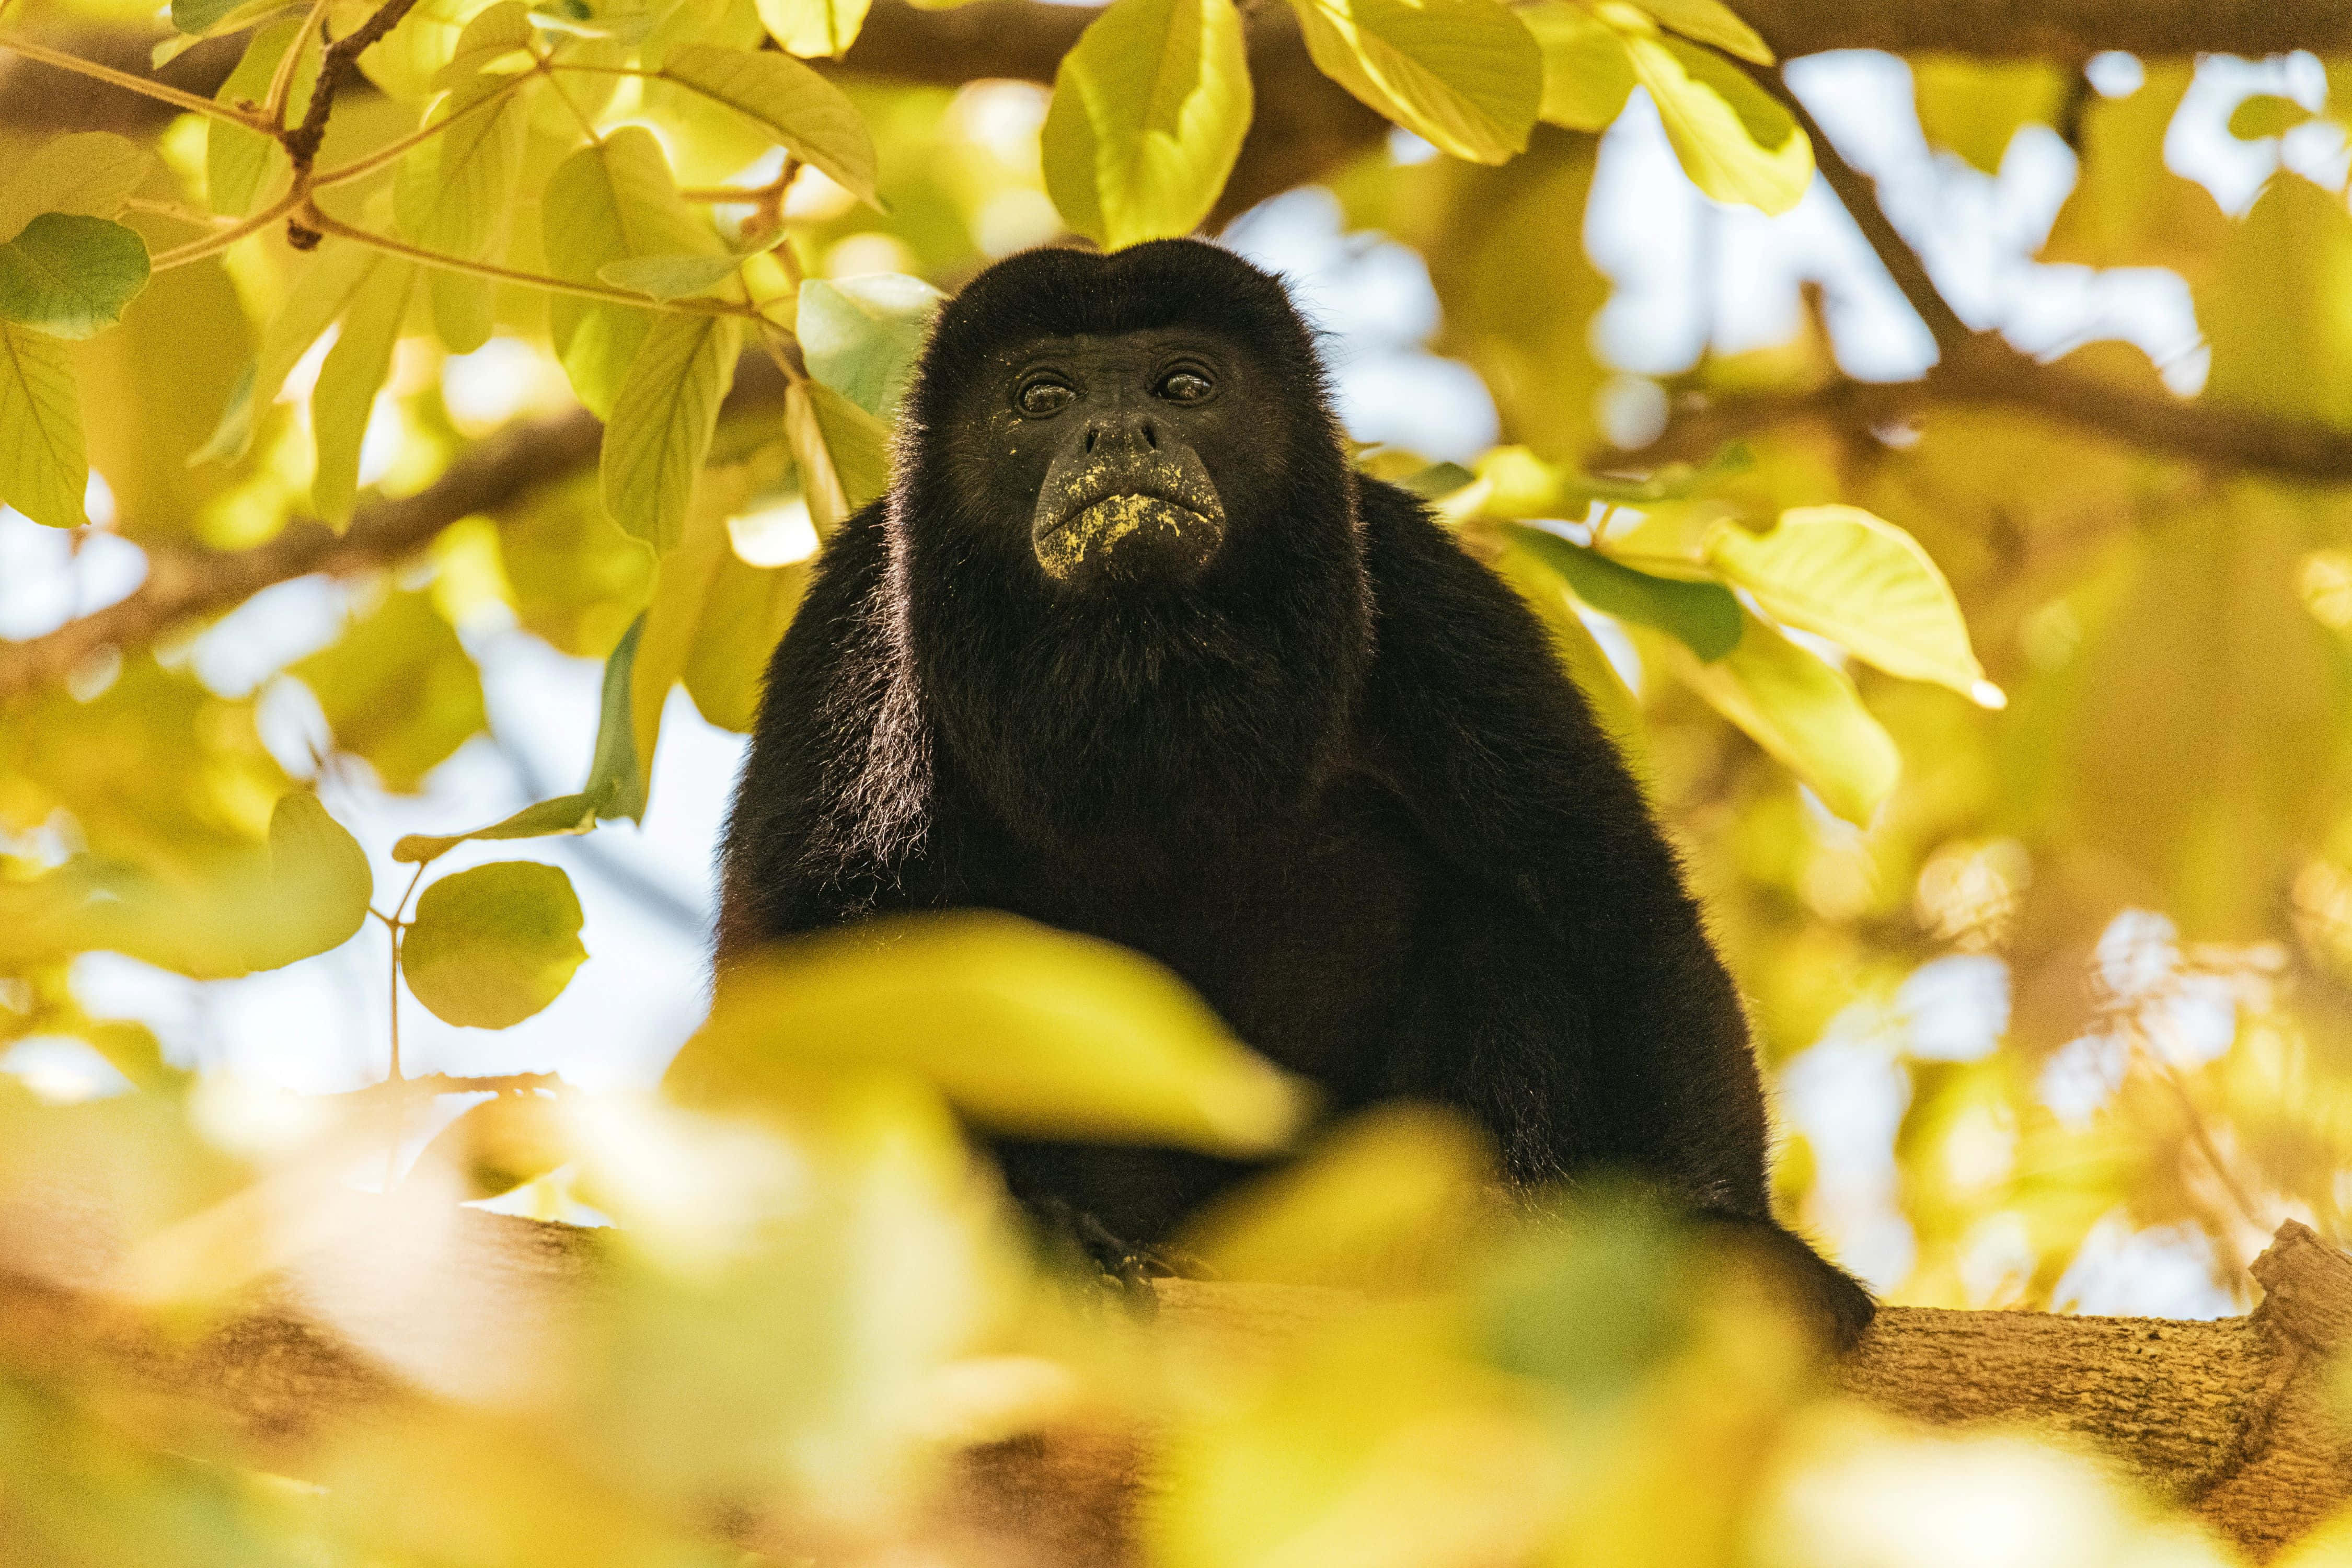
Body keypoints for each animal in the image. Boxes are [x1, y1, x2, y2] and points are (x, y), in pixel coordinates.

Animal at [717, 238, 1875, 1347]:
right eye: (1042, 398)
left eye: (1185, 385)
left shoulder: (1425, 586)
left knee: (1501, 932)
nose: (1119, 431)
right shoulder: (856, 623)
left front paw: (1733, 1244)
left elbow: (1606, 896)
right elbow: (818, 949)